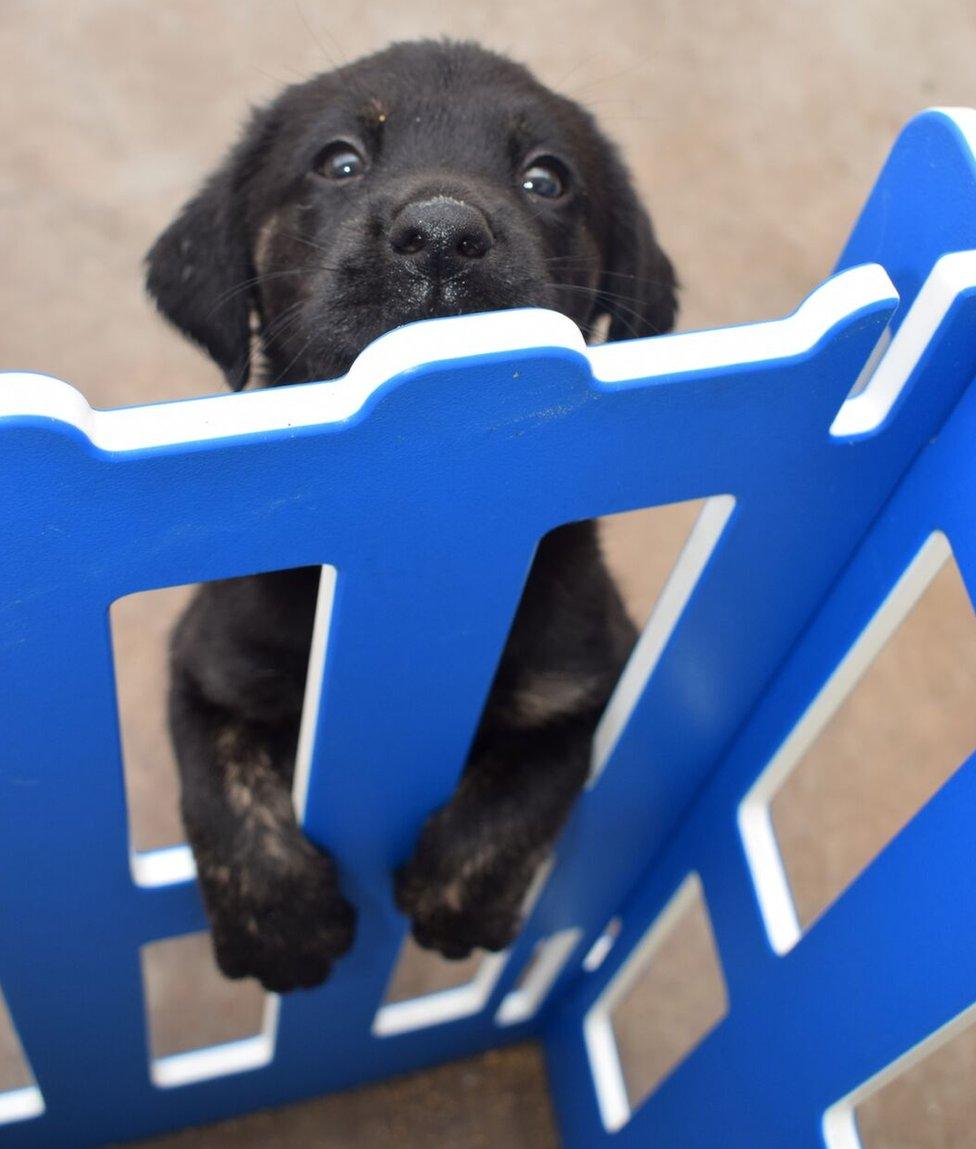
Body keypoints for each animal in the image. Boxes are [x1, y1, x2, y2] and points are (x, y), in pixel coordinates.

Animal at [146, 35, 675, 988]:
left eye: (547, 178)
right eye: (339, 162)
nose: (440, 236)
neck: (430, 525)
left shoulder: (587, 675)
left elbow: (524, 791)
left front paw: (454, 898)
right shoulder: (208, 663)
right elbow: (223, 791)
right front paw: (283, 926)